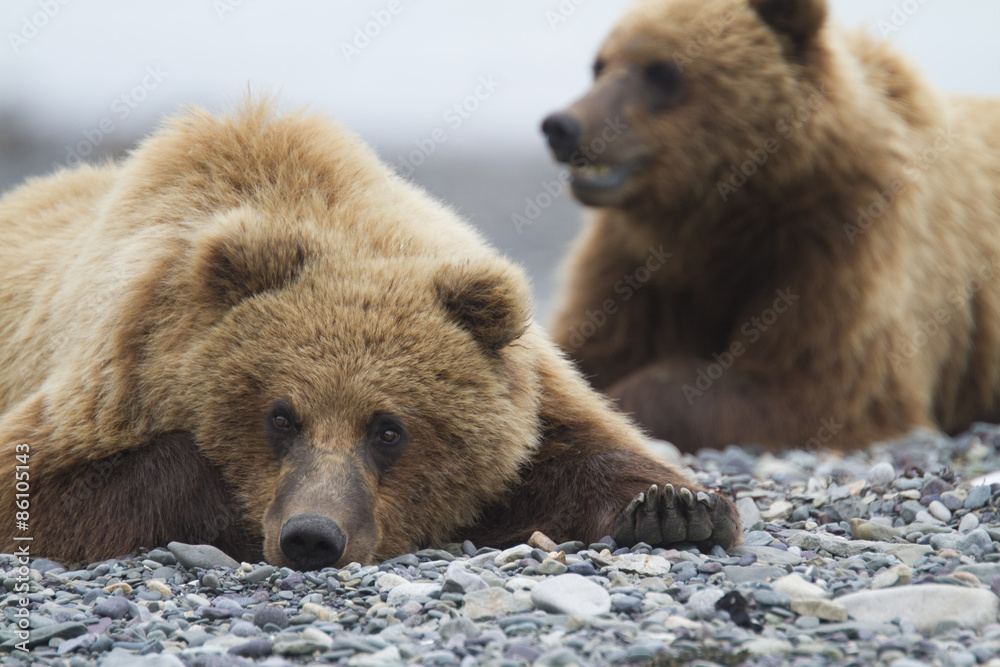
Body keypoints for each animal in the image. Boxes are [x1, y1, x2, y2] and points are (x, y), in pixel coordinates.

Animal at [0, 102, 740, 570]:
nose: (312, 536)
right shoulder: (119, 366)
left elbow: (577, 451)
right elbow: (39, 485)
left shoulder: (528, 386)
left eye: (389, 427)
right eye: (280, 415)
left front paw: (674, 507)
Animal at [541, 0, 1000, 452]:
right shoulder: (637, 263)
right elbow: (595, 344)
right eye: (600, 65)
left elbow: (819, 383)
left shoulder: (839, 238)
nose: (562, 125)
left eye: (663, 71)